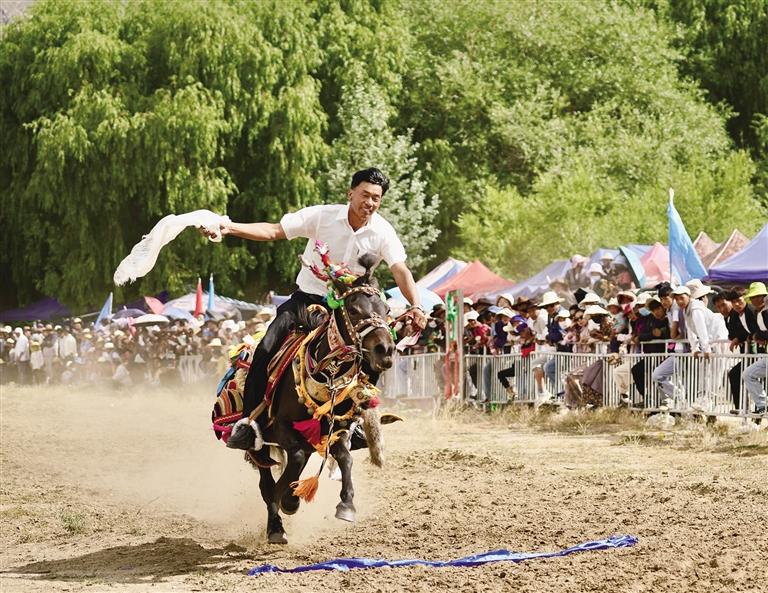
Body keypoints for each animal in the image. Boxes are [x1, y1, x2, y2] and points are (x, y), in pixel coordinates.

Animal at [252, 253, 395, 544]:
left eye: (386, 310)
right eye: (354, 309)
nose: (385, 349)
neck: (327, 375)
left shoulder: (336, 429)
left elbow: (345, 458)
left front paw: (346, 504)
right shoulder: (282, 426)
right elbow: (291, 463)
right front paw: (286, 501)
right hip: (260, 442)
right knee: (265, 479)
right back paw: (275, 525)